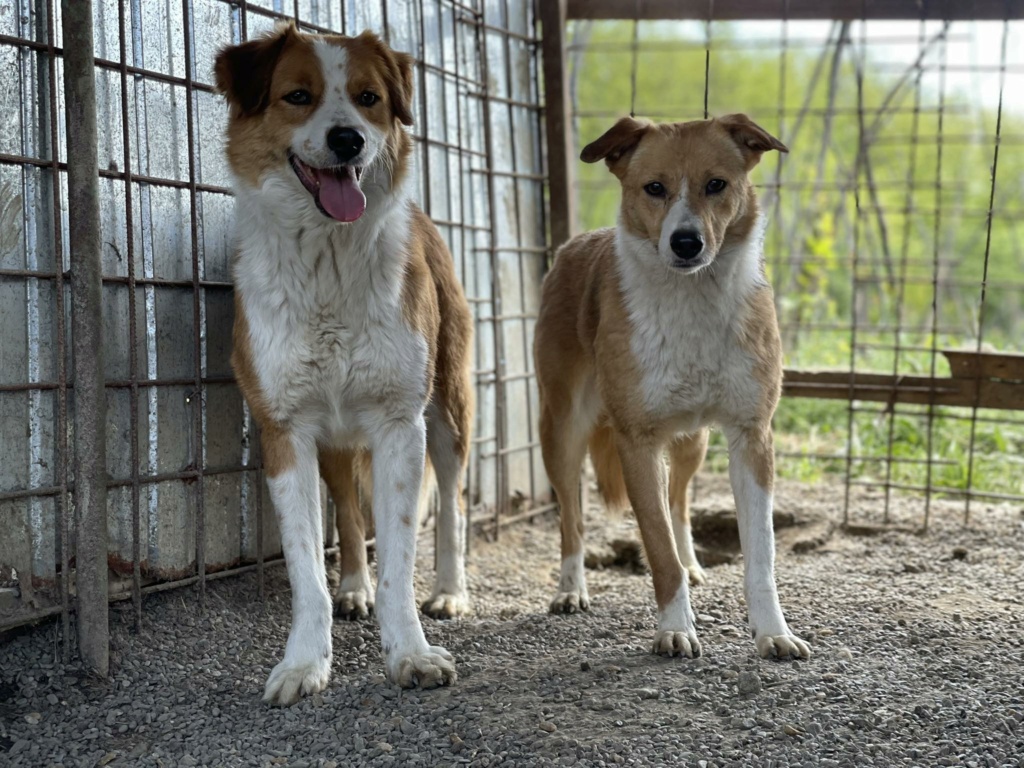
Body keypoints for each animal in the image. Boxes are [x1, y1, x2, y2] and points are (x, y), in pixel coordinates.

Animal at [217, 27, 475, 708]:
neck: (327, 259)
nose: (348, 140)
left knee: (453, 505)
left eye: (368, 98)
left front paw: (410, 653)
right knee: (351, 518)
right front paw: (305, 662)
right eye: (297, 96)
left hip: (448, 409)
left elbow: (402, 557)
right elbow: (308, 565)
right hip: (333, 443)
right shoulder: (286, 431)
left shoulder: (399, 426)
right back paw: (354, 587)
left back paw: (450, 591)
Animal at [532, 114, 811, 663]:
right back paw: (571, 589)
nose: (686, 243)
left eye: (716, 185)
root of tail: (577, 242)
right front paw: (675, 629)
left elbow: (761, 554)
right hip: (563, 430)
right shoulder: (637, 443)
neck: (693, 302)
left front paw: (773, 632)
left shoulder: (752, 436)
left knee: (680, 505)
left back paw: (694, 563)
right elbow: (658, 550)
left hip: (691, 443)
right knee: (573, 520)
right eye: (654, 188)